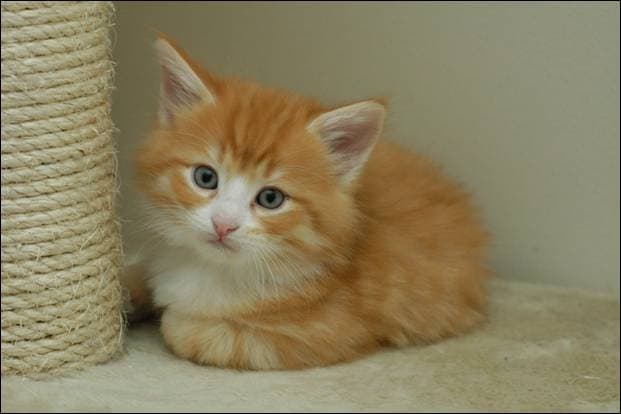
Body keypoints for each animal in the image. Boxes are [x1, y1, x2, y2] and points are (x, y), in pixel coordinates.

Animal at [121, 34, 491, 370]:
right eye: (205, 177)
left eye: (271, 198)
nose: (223, 224)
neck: (213, 267)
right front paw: (128, 290)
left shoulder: (323, 335)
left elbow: (190, 330)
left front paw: (169, 313)